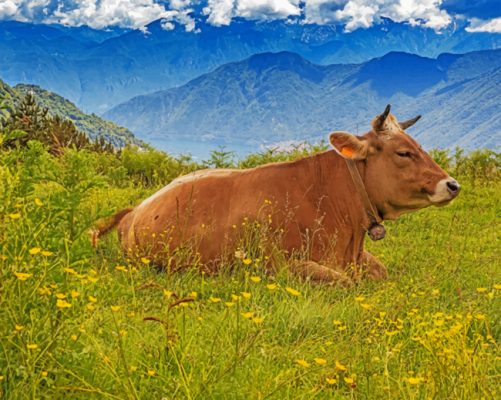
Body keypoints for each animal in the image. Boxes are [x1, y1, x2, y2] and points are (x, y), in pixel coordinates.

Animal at [92, 106, 458, 286]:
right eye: (403, 153)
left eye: (419, 146)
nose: (452, 184)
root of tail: (134, 211)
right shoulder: (279, 266)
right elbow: (345, 283)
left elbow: (381, 273)